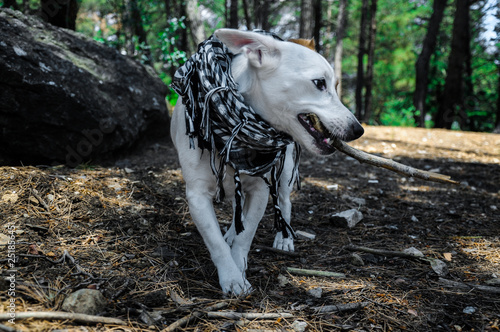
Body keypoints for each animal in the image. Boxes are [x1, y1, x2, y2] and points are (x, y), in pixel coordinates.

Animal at [170, 27, 362, 294]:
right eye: (319, 83)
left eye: (335, 85)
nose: (358, 130)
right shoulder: (197, 195)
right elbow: (216, 241)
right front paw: (231, 275)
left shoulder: (261, 188)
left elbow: (247, 233)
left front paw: (238, 264)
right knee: (236, 208)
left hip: (285, 170)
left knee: (284, 203)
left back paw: (284, 238)